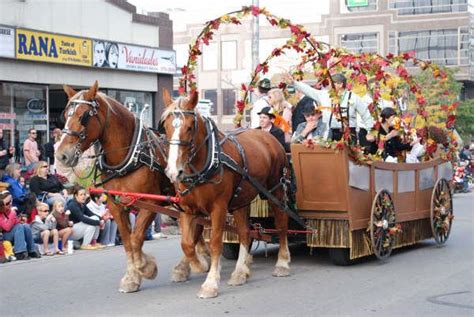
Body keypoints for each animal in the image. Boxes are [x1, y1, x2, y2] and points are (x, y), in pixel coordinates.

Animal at [55, 81, 178, 292]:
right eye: (65, 114)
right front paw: (132, 277)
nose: (62, 155)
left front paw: (144, 268)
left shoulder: (150, 203)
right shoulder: (116, 205)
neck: (128, 157)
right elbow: (128, 241)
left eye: (84, 115)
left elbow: (137, 238)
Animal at [161, 90, 290, 298]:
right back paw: (240, 272)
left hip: (275, 191)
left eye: (189, 127)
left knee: (281, 223)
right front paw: (198, 265)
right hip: (240, 200)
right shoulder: (188, 210)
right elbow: (187, 243)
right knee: (245, 232)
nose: (173, 171)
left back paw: (283, 263)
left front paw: (210, 283)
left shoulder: (218, 208)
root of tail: (268, 137)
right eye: (165, 127)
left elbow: (215, 243)